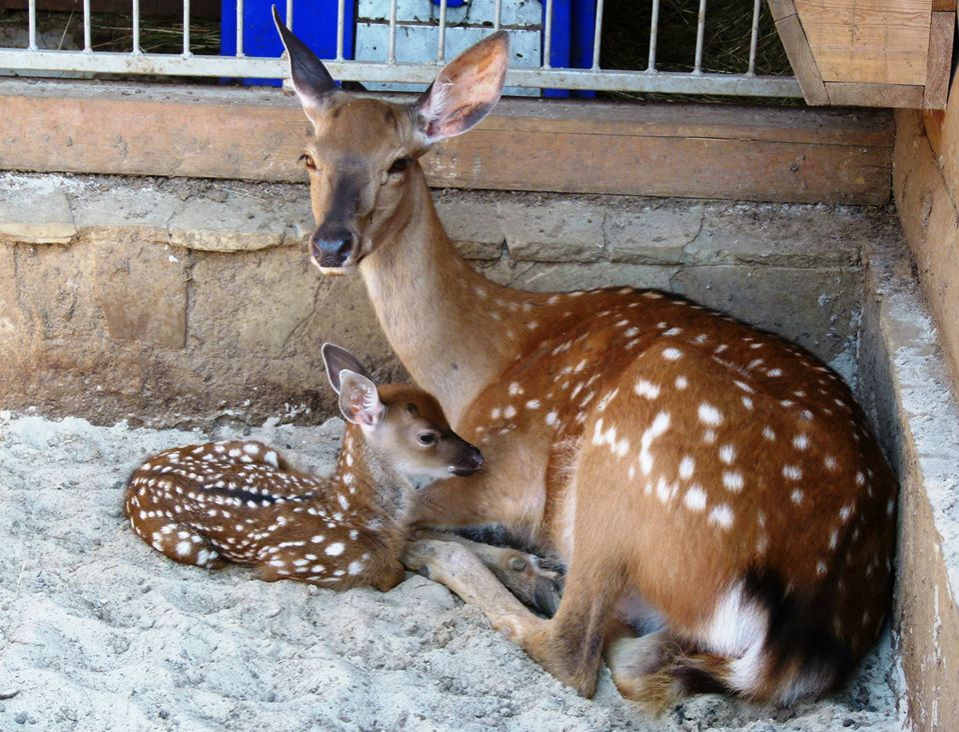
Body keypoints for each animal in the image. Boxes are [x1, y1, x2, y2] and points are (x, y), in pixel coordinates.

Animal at [124, 342, 484, 588]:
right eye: (427, 436)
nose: (477, 457)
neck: (355, 514)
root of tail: (138, 478)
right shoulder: (297, 564)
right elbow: (393, 575)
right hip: (190, 545)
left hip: (259, 449)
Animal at [272, 11, 900, 708]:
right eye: (308, 156)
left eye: (399, 163)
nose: (331, 244)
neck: (481, 361)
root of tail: (801, 639)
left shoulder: (502, 471)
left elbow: (374, 503)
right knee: (635, 658)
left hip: (632, 445)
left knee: (573, 648)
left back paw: (500, 570)